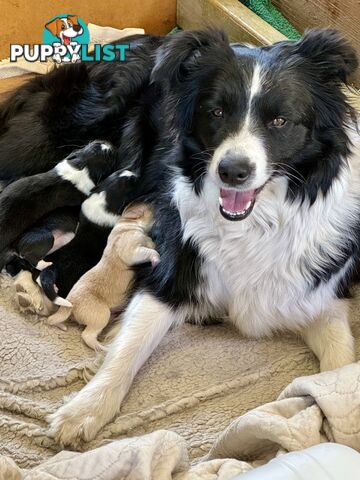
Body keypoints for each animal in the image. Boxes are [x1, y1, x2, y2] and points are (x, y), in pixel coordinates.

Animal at [0, 141, 116, 272]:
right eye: (110, 157)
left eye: (96, 146)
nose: (108, 144)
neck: (83, 167)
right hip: (46, 239)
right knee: (32, 259)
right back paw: (45, 265)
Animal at [45, 202, 158, 348]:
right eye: (150, 207)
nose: (158, 204)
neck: (125, 222)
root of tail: (71, 304)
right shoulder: (131, 250)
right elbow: (148, 251)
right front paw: (156, 258)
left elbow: (149, 242)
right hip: (101, 315)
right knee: (87, 336)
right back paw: (102, 347)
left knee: (55, 320)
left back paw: (62, 326)